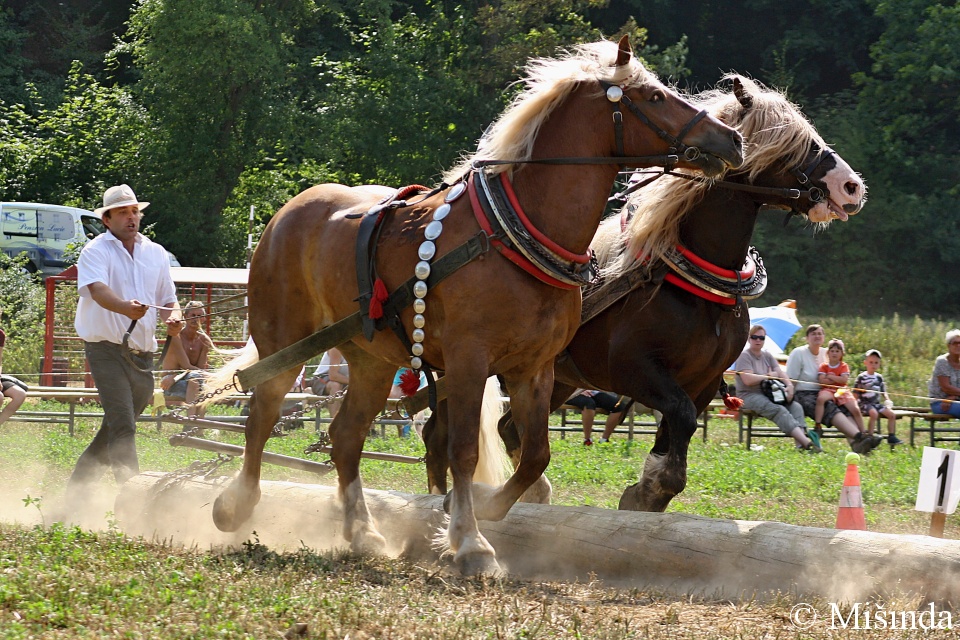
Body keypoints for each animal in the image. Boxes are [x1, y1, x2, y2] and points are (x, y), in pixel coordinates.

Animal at [202, 36, 744, 576]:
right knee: (263, 413)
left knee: (346, 435)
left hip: (372, 359)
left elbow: (535, 454)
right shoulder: (468, 361)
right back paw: (236, 505)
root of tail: (290, 210)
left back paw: (362, 531)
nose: (731, 140)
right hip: (284, 339)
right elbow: (461, 450)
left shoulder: (537, 369)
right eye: (653, 97)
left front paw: (487, 507)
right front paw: (469, 541)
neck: (514, 235)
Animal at [424, 75, 868, 512]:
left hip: (551, 377)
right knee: (437, 434)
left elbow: (677, 426)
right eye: (792, 142)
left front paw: (650, 489)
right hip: (463, 364)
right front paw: (651, 488)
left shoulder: (703, 381)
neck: (693, 285)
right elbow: (681, 417)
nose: (851, 186)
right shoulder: (632, 369)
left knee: (506, 429)